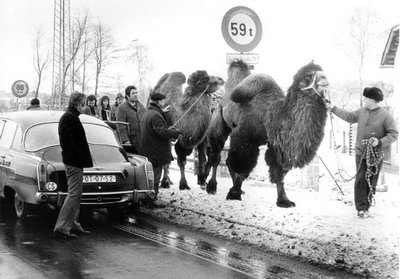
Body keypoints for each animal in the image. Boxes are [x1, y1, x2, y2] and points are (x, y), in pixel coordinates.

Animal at [206, 60, 328, 208]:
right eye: (308, 76)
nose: (325, 79)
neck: (271, 115)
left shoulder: (275, 145)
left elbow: (278, 172)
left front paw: (284, 200)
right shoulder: (245, 136)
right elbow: (243, 169)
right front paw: (233, 194)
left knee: (227, 161)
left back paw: (238, 189)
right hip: (219, 121)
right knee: (216, 156)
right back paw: (212, 187)